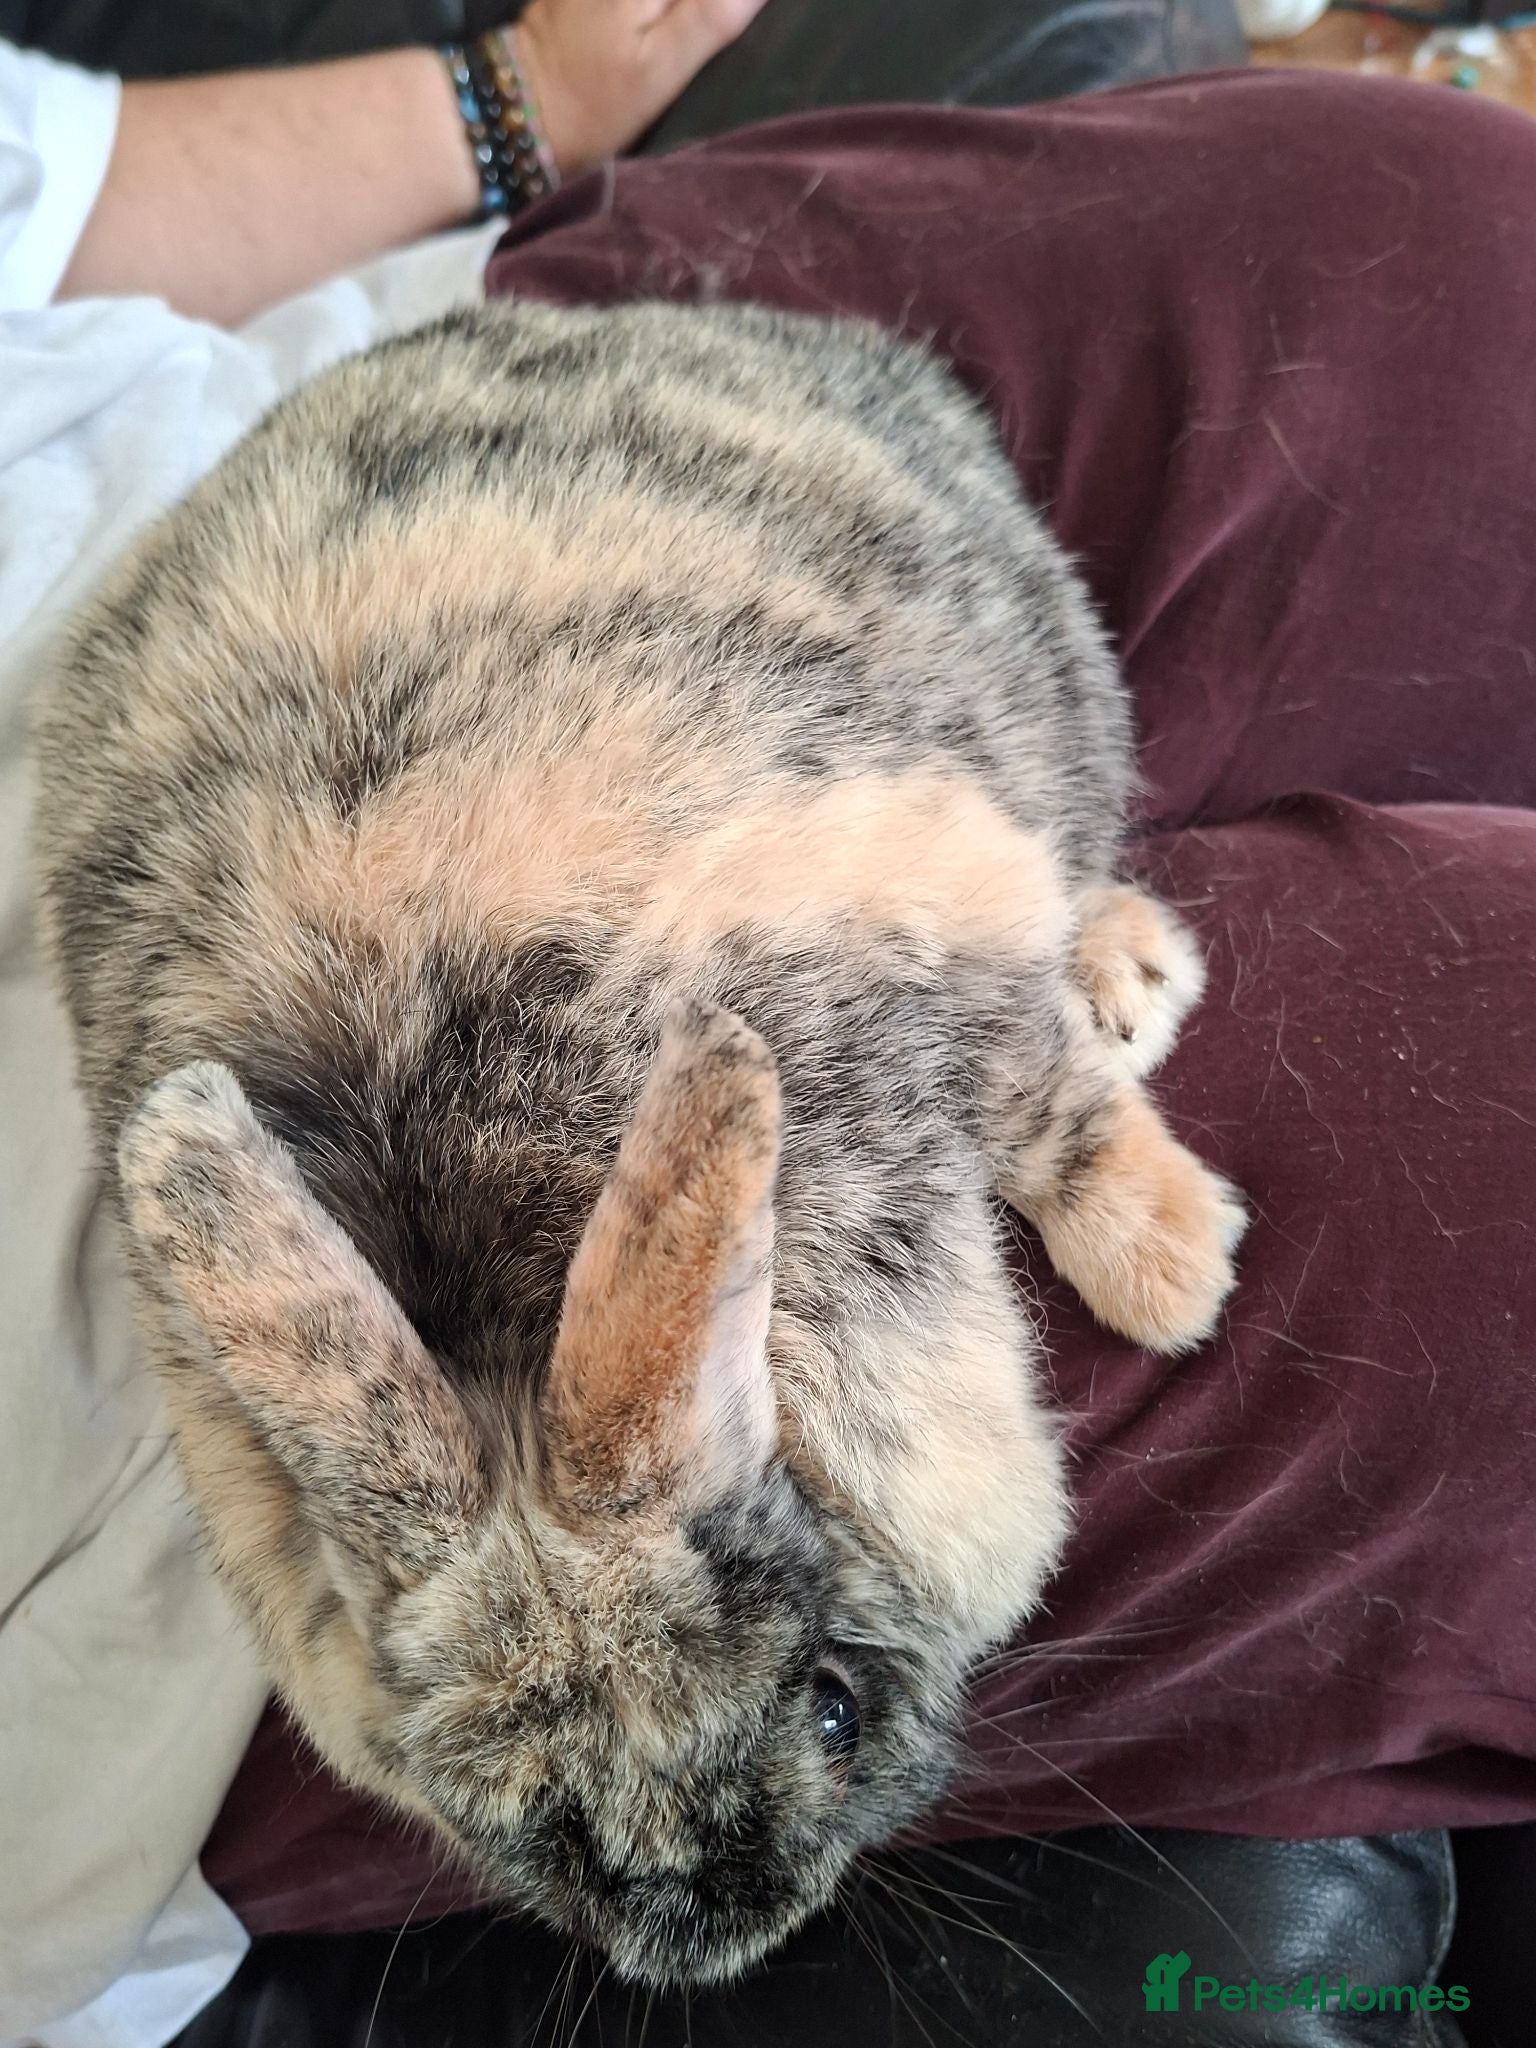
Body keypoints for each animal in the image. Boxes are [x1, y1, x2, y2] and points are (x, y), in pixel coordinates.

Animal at [32, 298, 1243, 1989]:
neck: (498, 1320)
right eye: (547, 1834)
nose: (738, 1932)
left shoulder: (941, 926)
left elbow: (1047, 1104)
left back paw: (1131, 973)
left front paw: (1181, 1272)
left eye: (831, 1707)